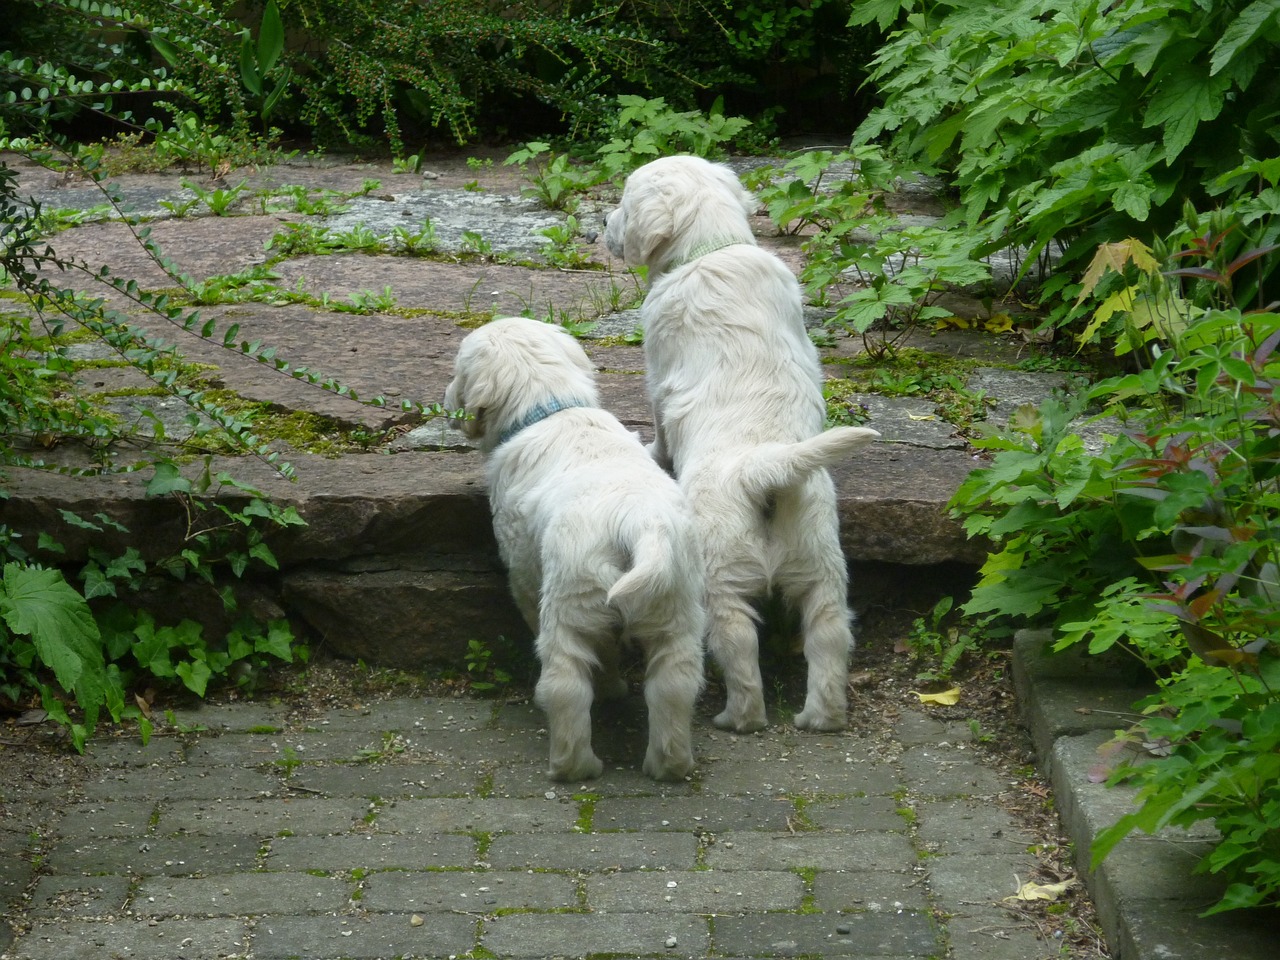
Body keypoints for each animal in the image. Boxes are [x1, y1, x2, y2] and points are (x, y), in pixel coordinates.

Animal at [445, 316, 706, 783]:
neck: (552, 407)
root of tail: (638, 524)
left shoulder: (523, 571)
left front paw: (610, 691)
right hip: (675, 603)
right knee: (674, 687)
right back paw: (668, 765)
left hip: (571, 602)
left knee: (566, 687)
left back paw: (572, 767)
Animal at [604, 154, 875, 732]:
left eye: (624, 203)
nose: (602, 224)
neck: (713, 247)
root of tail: (766, 468)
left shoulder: (657, 369)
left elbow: (660, 425)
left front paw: (649, 451)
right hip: (821, 563)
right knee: (828, 637)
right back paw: (821, 718)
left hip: (719, 574)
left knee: (740, 652)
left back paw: (735, 718)